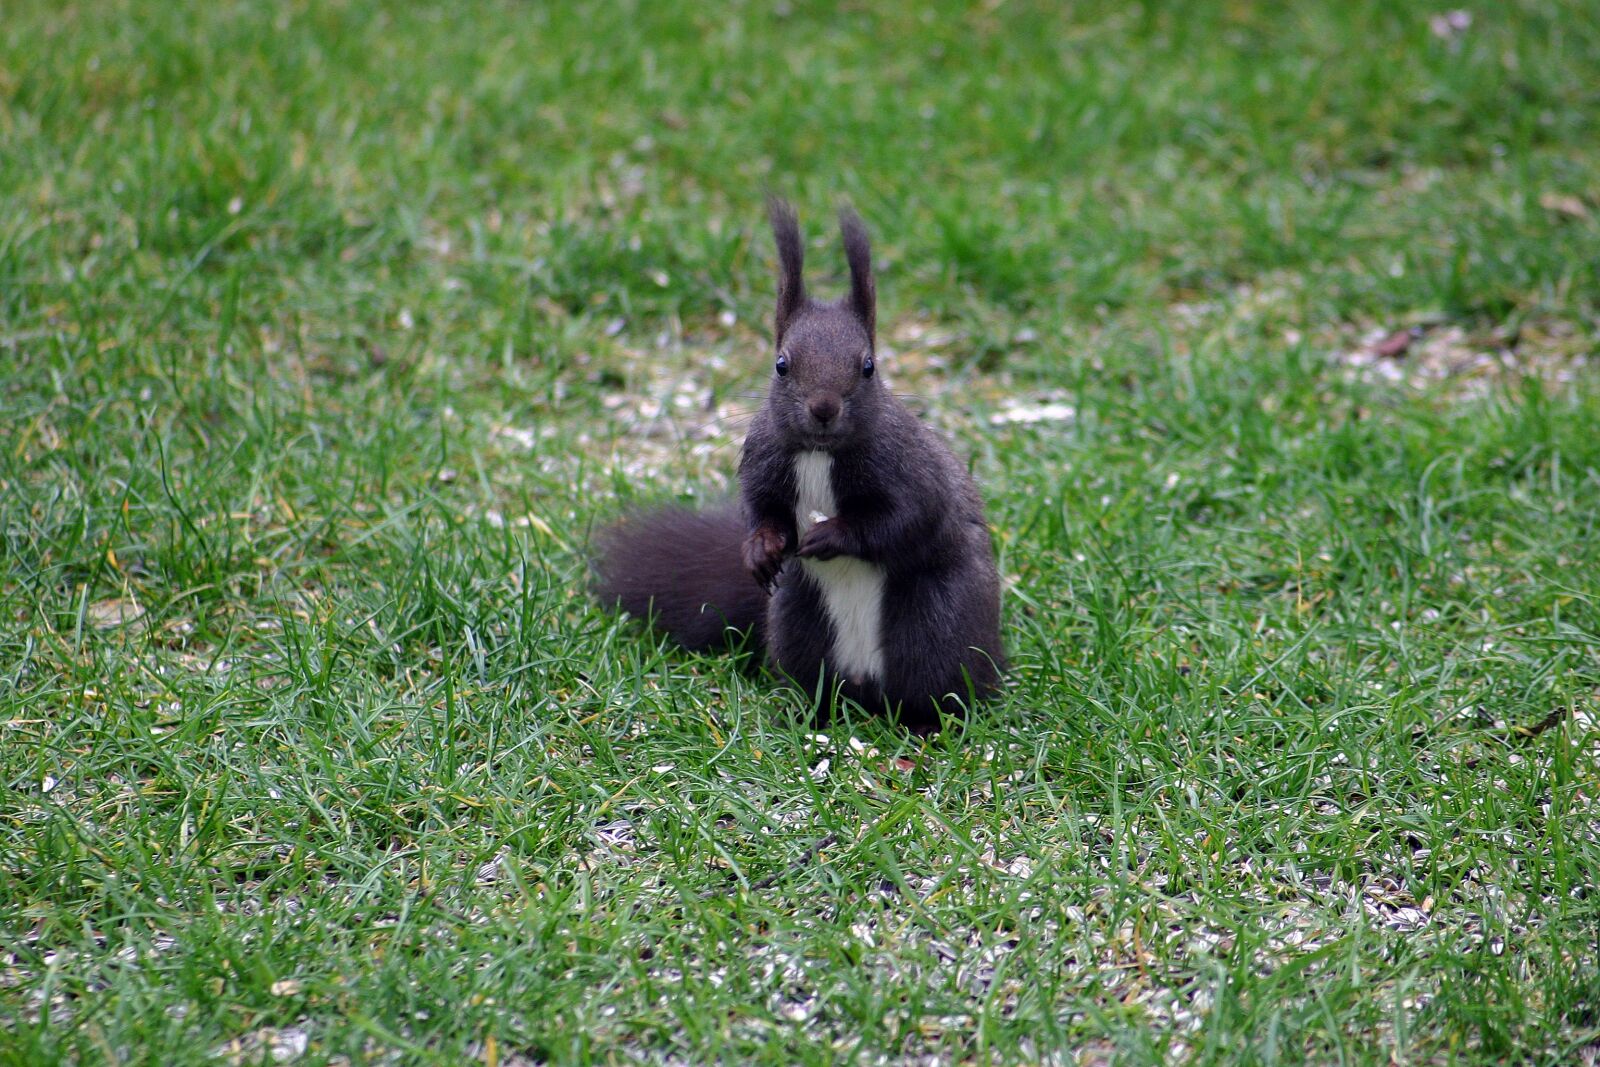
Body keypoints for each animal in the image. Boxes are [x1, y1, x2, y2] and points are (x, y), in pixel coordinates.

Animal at [593, 199, 1004, 731]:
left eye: (868, 367)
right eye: (781, 364)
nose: (823, 408)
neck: (818, 453)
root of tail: (866, 689)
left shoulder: (909, 472)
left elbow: (903, 519)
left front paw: (828, 536)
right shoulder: (762, 464)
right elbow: (760, 510)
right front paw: (761, 548)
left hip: (936, 629)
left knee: (937, 688)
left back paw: (925, 724)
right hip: (797, 627)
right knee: (817, 683)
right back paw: (809, 715)